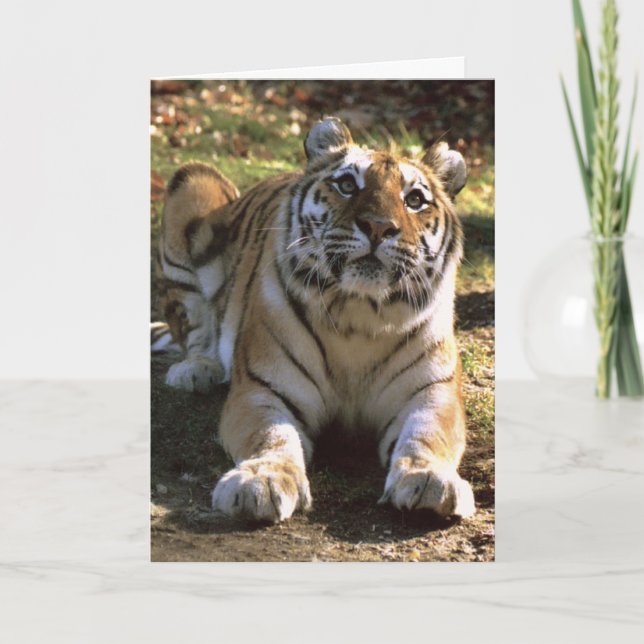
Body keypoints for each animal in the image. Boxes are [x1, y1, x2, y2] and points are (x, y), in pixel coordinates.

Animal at [154, 117, 475, 522]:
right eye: (347, 185)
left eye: (414, 200)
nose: (378, 226)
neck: (361, 314)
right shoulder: (262, 389)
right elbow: (272, 435)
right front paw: (262, 480)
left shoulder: (432, 393)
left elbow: (427, 435)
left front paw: (430, 478)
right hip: (192, 183)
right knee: (194, 328)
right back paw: (196, 370)